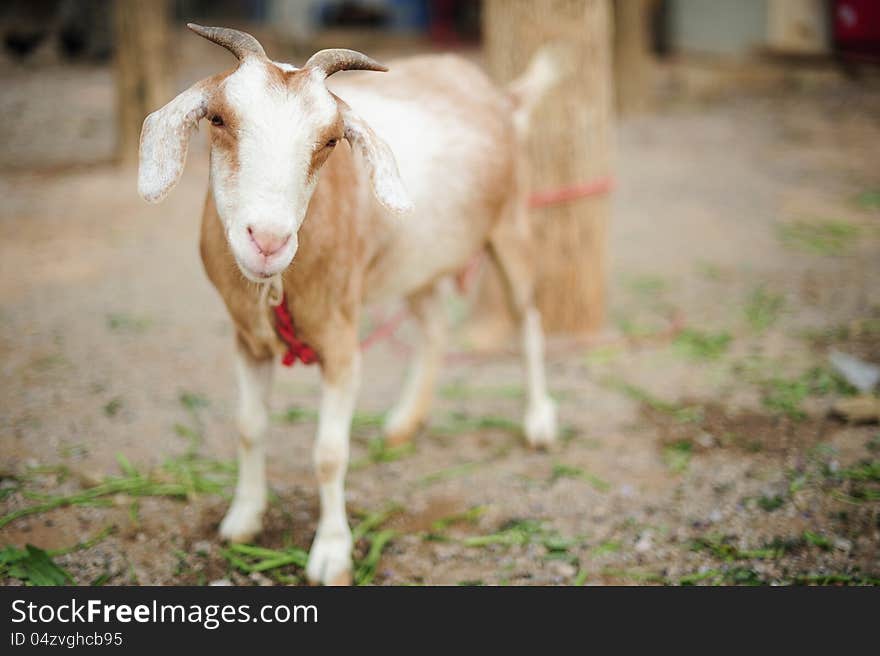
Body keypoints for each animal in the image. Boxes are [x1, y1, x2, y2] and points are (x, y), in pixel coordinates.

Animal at [140, 23, 560, 584]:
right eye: (219, 118)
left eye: (331, 140)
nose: (268, 240)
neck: (280, 288)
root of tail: (502, 97)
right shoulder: (247, 339)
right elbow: (249, 428)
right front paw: (243, 519)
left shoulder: (340, 344)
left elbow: (329, 453)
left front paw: (332, 553)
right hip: (417, 259)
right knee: (434, 328)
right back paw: (404, 422)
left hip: (511, 223)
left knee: (527, 318)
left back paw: (539, 423)